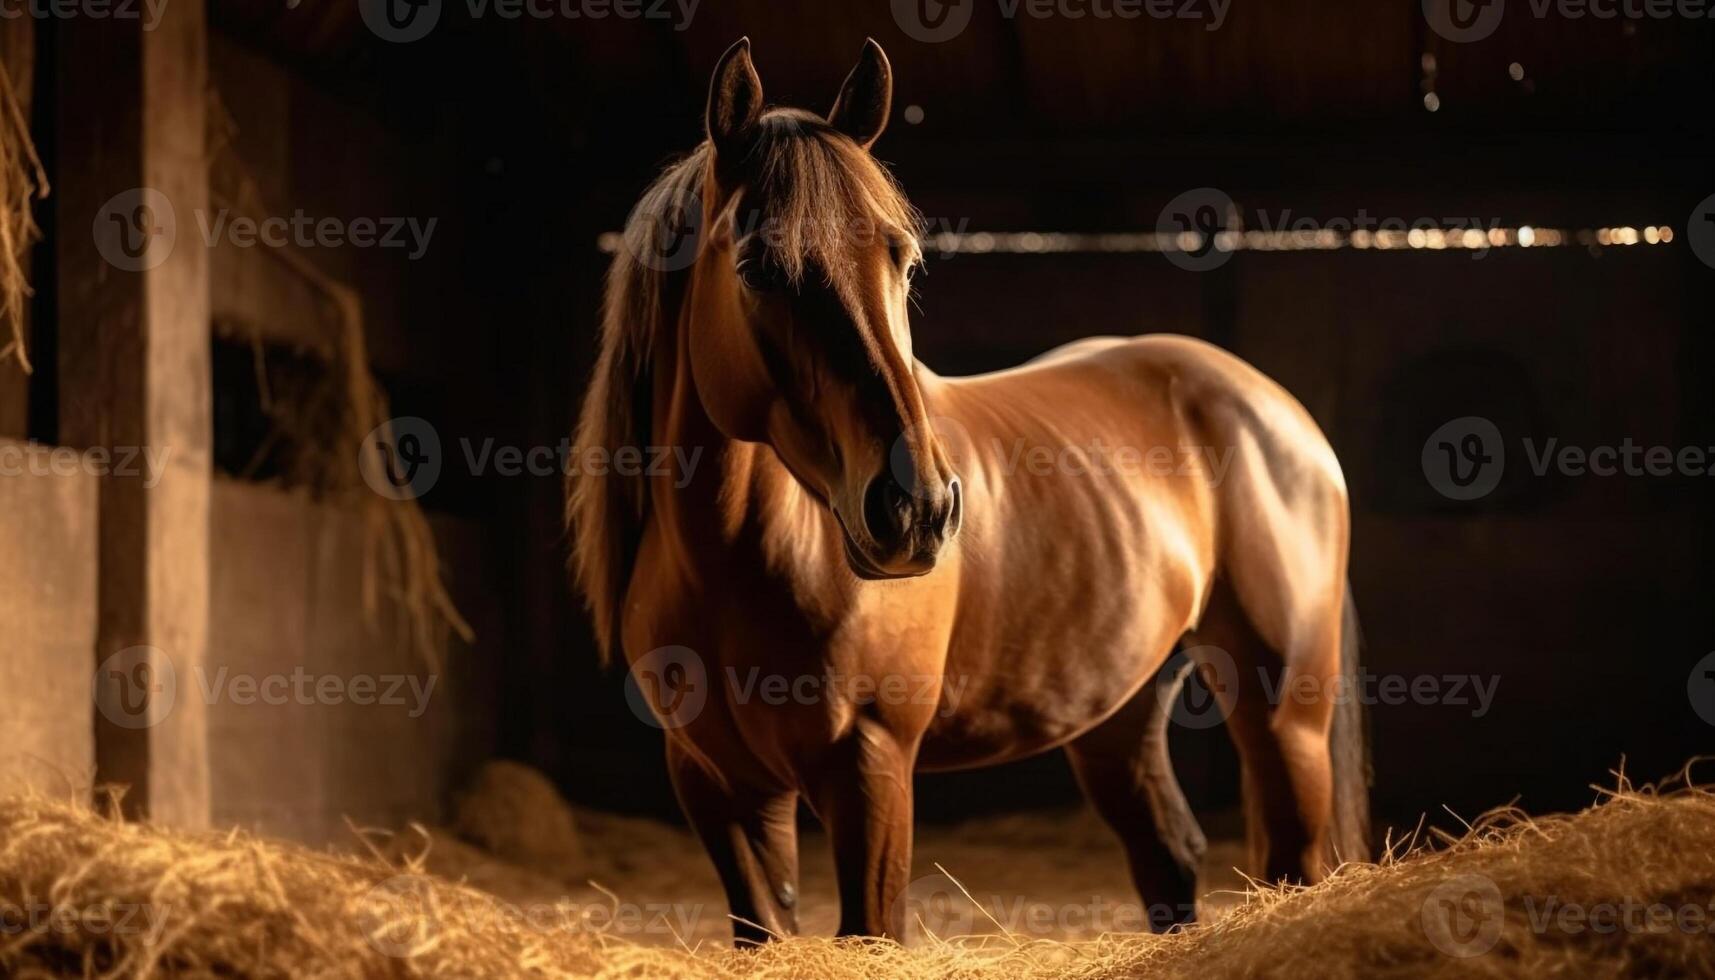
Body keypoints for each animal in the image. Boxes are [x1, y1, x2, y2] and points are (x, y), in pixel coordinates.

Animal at [569, 36, 1372, 940]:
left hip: (1284, 716)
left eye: (903, 258)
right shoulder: (718, 787)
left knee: (1291, 859)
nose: (916, 510)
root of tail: (1276, 413)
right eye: (754, 267)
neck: (736, 564)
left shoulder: (870, 766)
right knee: (1169, 854)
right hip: (1118, 717)